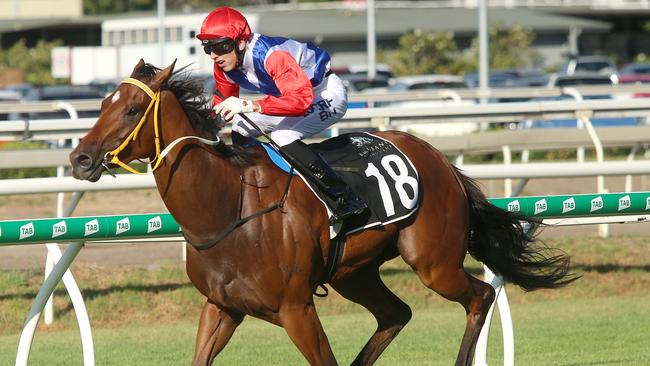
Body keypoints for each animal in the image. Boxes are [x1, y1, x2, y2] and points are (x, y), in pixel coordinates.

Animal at [69, 58, 572, 364]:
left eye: (133, 108)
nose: (80, 158)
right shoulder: (221, 308)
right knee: (396, 314)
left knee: (479, 297)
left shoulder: (297, 310)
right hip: (355, 272)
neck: (228, 210)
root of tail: (440, 159)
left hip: (434, 262)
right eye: (103, 103)